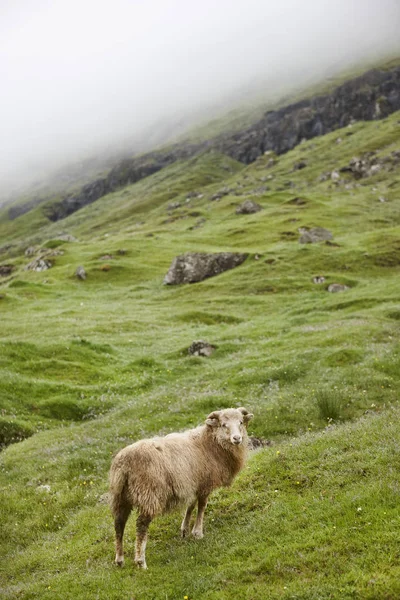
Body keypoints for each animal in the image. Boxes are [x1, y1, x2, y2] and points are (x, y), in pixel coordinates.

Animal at [109, 406, 253, 568]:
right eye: (223, 424)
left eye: (241, 422)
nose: (237, 438)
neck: (210, 442)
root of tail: (124, 463)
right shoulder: (205, 483)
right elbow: (202, 506)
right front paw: (197, 532)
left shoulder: (192, 484)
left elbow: (191, 505)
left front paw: (184, 530)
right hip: (149, 494)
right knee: (141, 525)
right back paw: (141, 562)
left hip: (120, 496)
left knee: (119, 524)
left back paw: (119, 559)